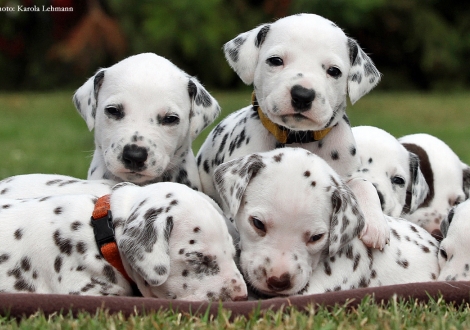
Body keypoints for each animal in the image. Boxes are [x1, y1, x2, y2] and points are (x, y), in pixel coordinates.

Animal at [195, 12, 390, 250]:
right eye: (276, 60)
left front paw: (375, 223)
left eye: (334, 71)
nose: (302, 95)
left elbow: (364, 184)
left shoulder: (345, 177)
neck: (299, 137)